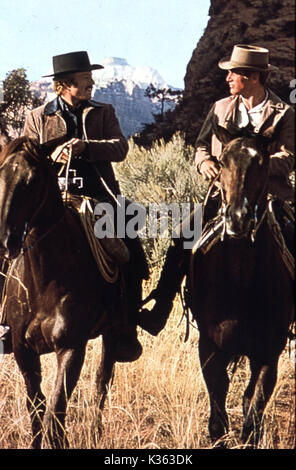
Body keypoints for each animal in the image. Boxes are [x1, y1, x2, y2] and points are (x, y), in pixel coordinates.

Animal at [0, 136, 141, 448]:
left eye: (33, 180)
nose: (6, 240)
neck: (44, 281)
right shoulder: (22, 351)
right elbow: (37, 409)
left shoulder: (71, 348)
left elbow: (55, 416)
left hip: (112, 333)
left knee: (102, 382)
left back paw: (95, 433)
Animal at [187, 127, 294, 448]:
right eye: (222, 161)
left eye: (262, 162)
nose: (237, 219)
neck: (241, 279)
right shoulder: (210, 349)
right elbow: (218, 417)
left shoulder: (268, 354)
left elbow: (252, 415)